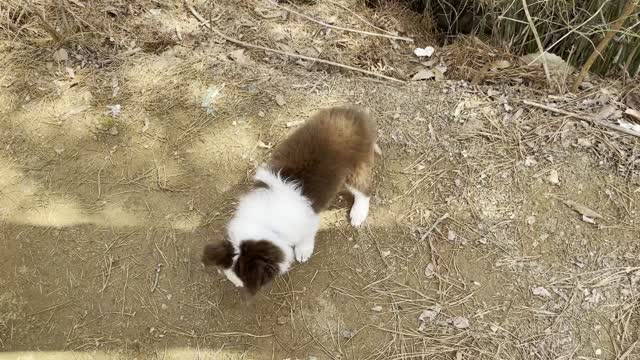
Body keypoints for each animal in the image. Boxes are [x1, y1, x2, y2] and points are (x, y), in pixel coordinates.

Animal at [202, 105, 378, 294]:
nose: (237, 286)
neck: (265, 222)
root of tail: (355, 114)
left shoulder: (308, 221)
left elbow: (307, 236)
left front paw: (303, 251)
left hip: (356, 168)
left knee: (364, 190)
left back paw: (358, 214)